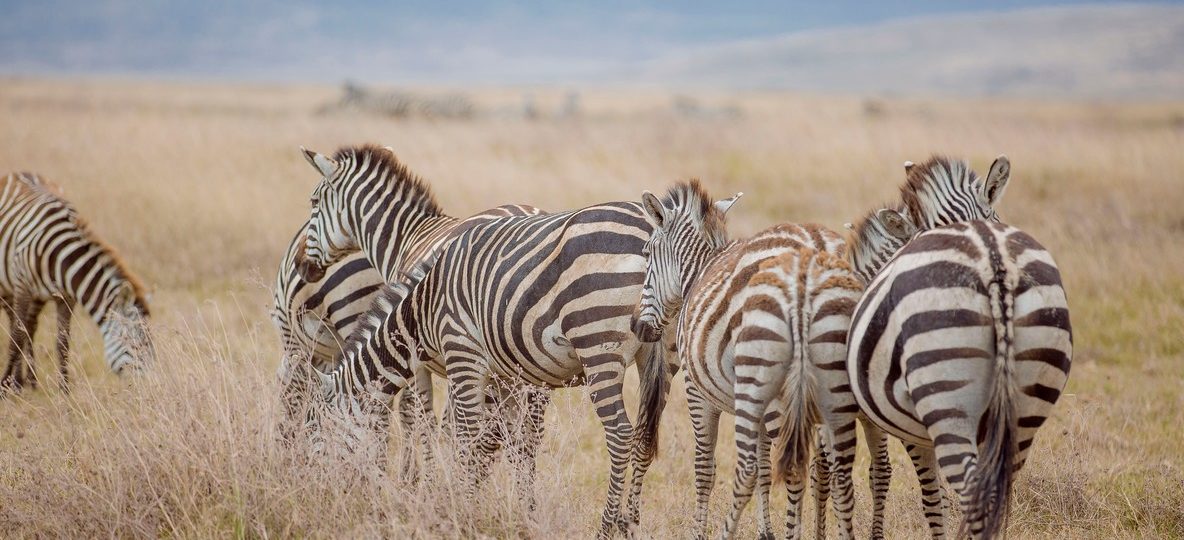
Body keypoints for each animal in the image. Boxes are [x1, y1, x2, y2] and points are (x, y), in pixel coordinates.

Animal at [0, 171, 154, 390]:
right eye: (136, 346)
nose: (151, 386)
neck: (60, 258)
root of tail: (16, 172)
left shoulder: (66, 297)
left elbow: (62, 342)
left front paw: (64, 389)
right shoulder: (23, 287)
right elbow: (15, 338)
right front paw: (4, 385)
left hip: (37, 296)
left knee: (30, 325)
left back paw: (29, 381)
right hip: (9, 285)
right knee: (17, 323)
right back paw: (17, 382)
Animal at [295, 163, 708, 536]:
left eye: (316, 439)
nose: (315, 498)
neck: (423, 307)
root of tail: (649, 225)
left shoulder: (460, 355)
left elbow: (460, 436)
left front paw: (454, 506)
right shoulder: (507, 375)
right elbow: (507, 441)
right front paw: (515, 510)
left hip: (598, 347)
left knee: (620, 433)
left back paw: (606, 526)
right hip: (659, 355)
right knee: (642, 437)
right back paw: (629, 522)